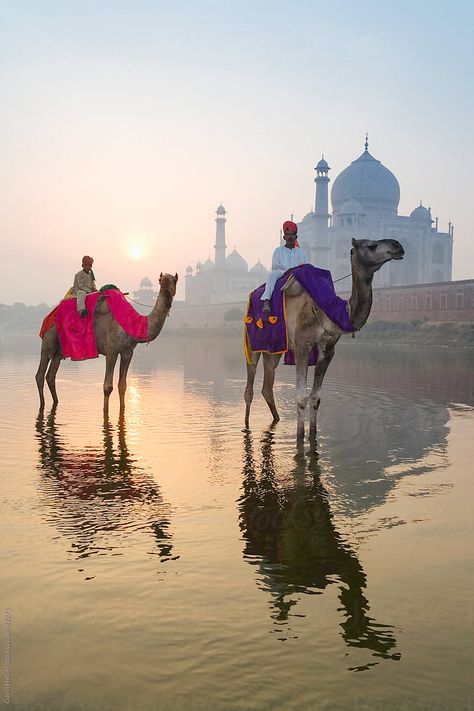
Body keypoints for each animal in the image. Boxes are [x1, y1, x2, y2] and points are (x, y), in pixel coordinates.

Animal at [36, 272, 178, 412]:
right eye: (161, 280)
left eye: (174, 280)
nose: (168, 293)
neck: (132, 323)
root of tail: (48, 316)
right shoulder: (111, 350)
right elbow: (108, 387)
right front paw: (105, 412)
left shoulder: (128, 352)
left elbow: (122, 385)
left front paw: (123, 408)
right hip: (49, 338)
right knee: (40, 374)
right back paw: (42, 404)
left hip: (60, 350)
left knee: (51, 375)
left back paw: (56, 401)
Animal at [244, 239, 404, 440]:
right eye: (371, 246)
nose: (398, 245)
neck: (327, 310)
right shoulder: (302, 346)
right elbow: (301, 397)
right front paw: (300, 437)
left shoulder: (328, 349)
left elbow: (316, 397)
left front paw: (312, 434)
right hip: (252, 341)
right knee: (249, 387)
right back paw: (246, 424)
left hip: (273, 348)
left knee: (267, 385)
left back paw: (276, 419)